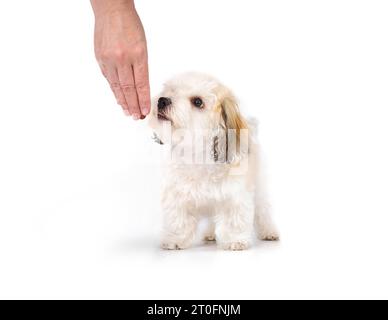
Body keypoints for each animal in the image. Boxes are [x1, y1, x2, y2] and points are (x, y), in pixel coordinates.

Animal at [149, 72, 278, 250]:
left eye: (198, 102)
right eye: (171, 90)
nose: (162, 100)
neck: (197, 155)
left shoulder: (234, 195)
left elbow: (233, 219)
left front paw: (235, 241)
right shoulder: (177, 194)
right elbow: (178, 220)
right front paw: (175, 239)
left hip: (259, 188)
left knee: (263, 211)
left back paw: (269, 231)